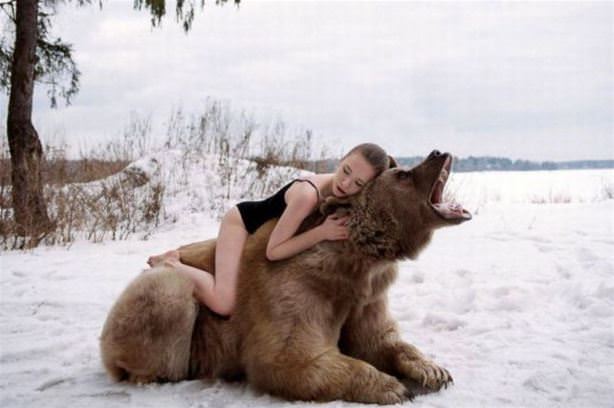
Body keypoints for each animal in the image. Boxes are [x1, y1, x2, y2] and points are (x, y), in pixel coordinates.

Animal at [100, 151, 472, 404]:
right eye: (404, 174)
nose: (438, 153)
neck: (354, 260)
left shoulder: (368, 293)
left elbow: (380, 339)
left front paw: (434, 370)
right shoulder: (298, 283)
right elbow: (291, 356)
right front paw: (392, 386)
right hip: (156, 301)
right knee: (167, 296)